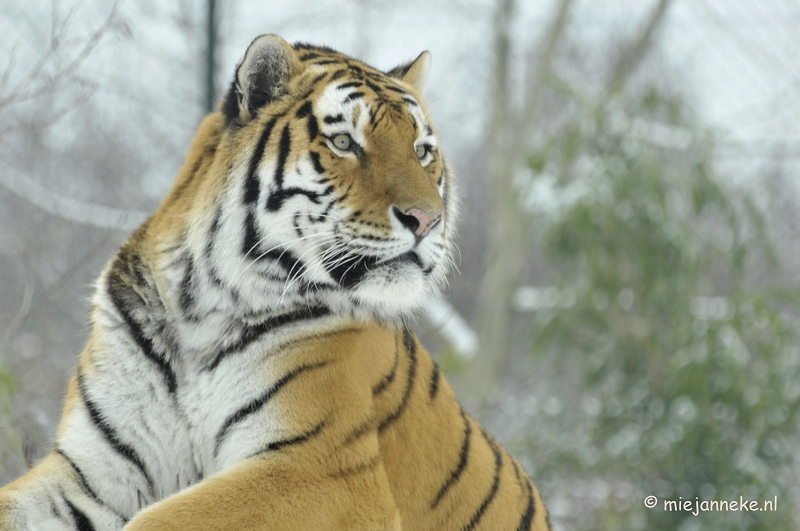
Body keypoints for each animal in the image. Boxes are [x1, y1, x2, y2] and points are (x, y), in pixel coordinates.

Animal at [0, 35, 552, 528]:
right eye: (344, 142)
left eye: (421, 151)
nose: (427, 220)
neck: (198, 309)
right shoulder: (94, 472)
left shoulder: (320, 469)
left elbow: (158, 520)